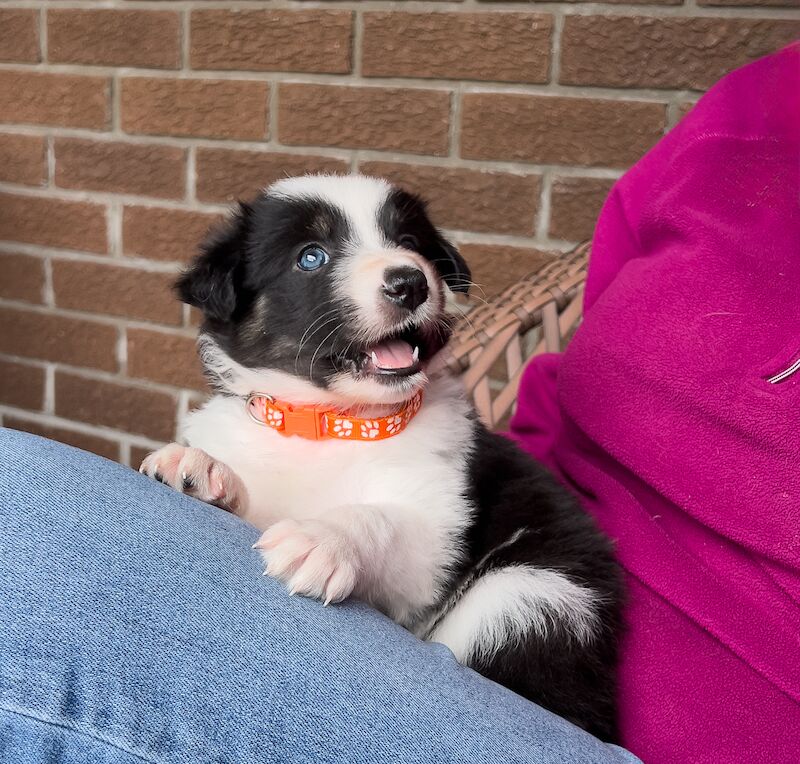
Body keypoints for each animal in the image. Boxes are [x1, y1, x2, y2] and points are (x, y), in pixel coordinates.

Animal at [141, 173, 620, 740]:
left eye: (409, 242)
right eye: (311, 256)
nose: (410, 282)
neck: (332, 423)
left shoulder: (435, 539)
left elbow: (382, 519)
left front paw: (323, 537)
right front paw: (198, 466)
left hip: (528, 597)